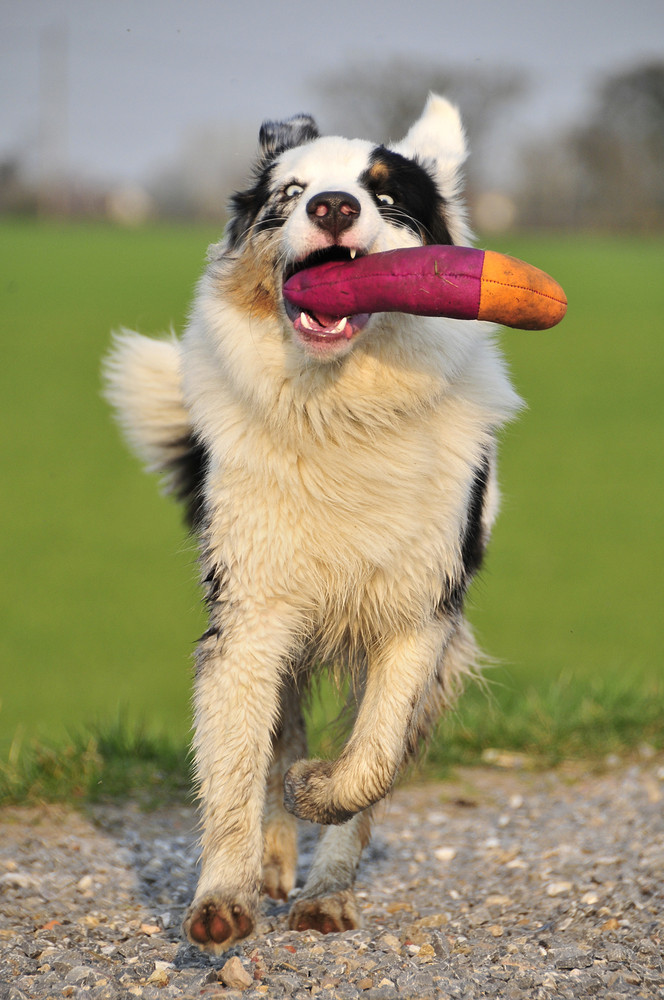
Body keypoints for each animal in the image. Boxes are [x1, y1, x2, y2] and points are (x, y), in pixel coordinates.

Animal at [104, 94, 520, 952]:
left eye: (385, 194)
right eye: (290, 193)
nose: (333, 207)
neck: (341, 411)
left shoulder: (420, 615)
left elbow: (370, 760)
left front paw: (320, 809)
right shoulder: (250, 615)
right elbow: (237, 767)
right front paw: (223, 899)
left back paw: (324, 886)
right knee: (277, 734)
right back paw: (271, 863)